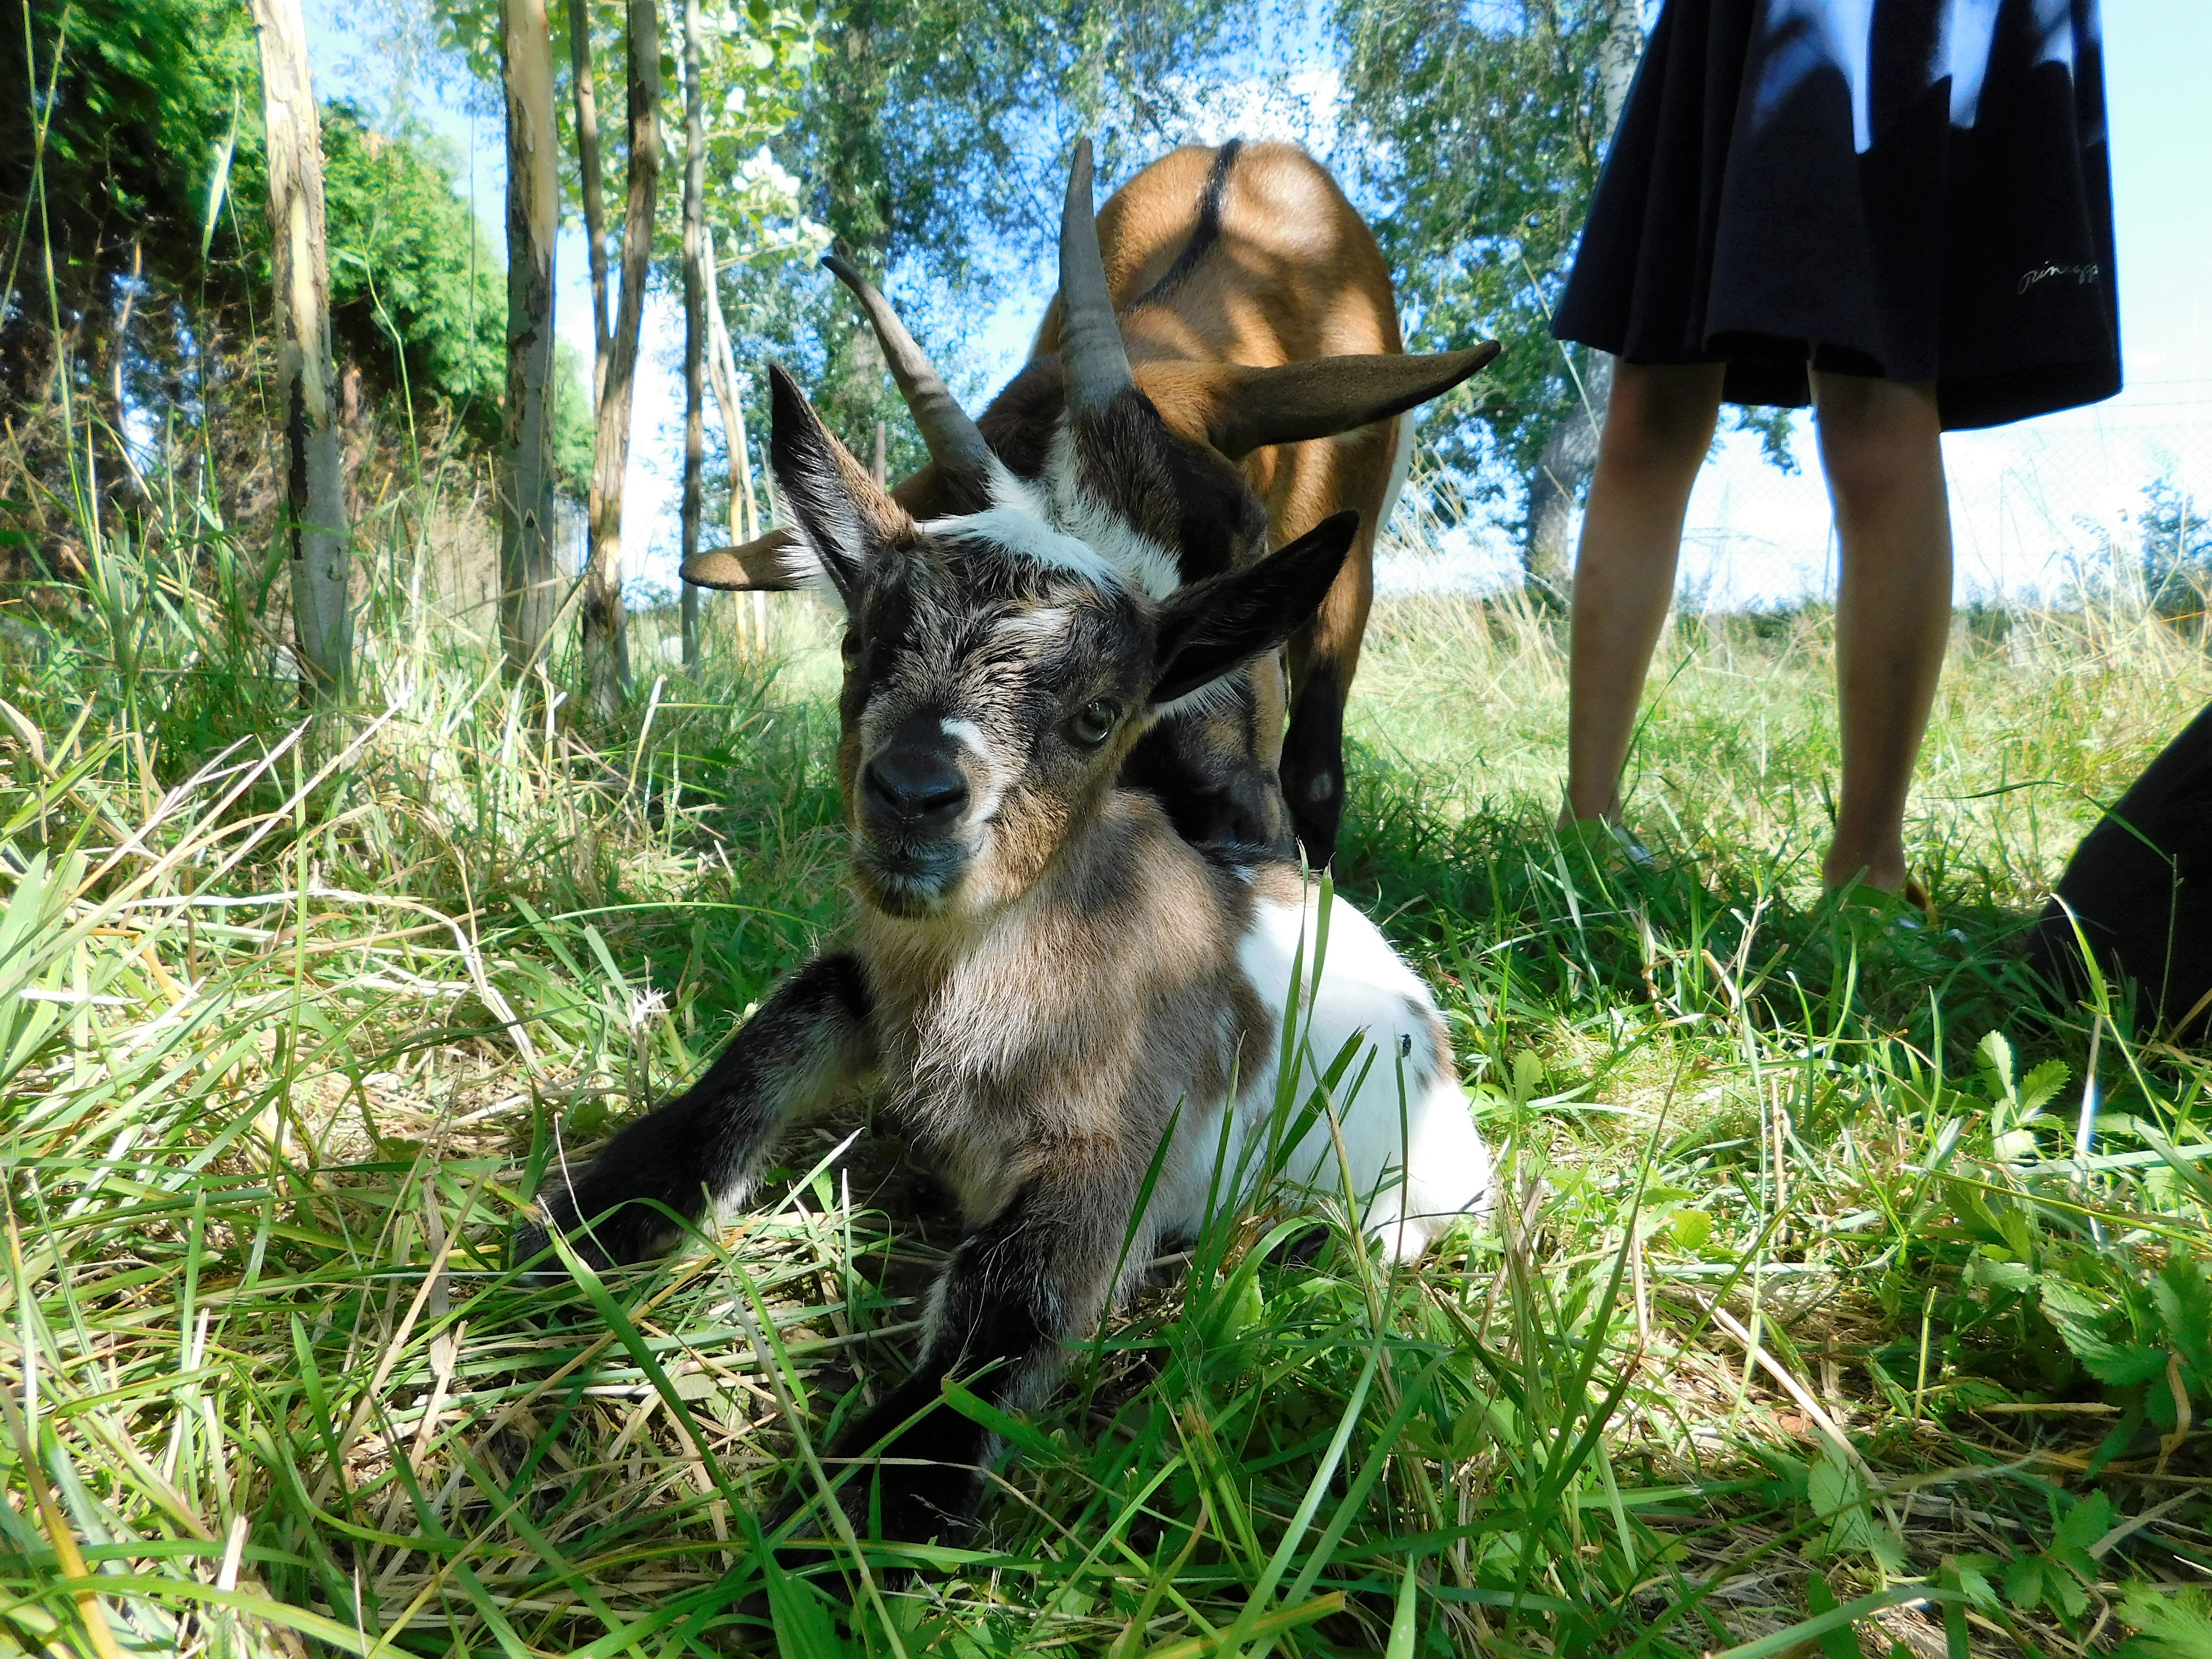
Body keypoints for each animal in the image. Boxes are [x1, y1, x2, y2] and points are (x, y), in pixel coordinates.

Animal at [517, 369, 1495, 1557]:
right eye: (858, 648)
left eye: (1096, 714)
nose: (914, 793)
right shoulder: (860, 987)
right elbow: (755, 1062)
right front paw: (583, 1226)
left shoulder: (1115, 1147)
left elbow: (1009, 1309)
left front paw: (843, 1531)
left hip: (1415, 1186)